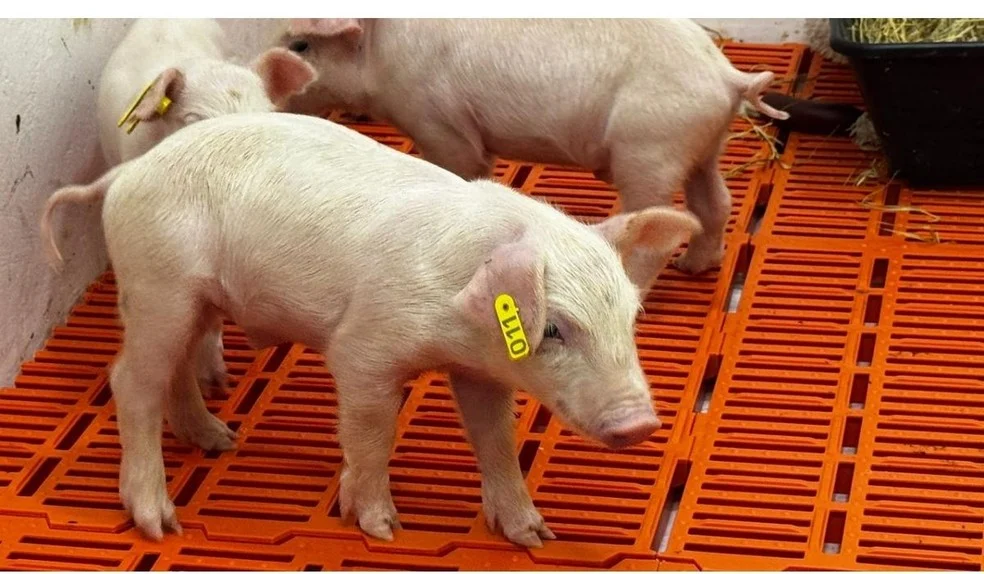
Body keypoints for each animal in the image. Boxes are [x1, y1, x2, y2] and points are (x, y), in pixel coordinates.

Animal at [42, 112, 700, 547]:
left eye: (630, 316)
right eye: (557, 329)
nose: (640, 425)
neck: (457, 319)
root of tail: (125, 175)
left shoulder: (478, 370)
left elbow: (495, 441)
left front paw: (536, 537)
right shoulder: (363, 351)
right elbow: (372, 435)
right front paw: (382, 528)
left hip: (191, 298)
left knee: (173, 370)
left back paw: (220, 441)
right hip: (158, 284)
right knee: (131, 382)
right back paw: (160, 524)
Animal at [269, 18, 789, 277]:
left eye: (301, 46)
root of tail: (726, 76)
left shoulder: (437, 121)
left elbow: (462, 167)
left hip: (650, 150)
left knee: (653, 232)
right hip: (704, 145)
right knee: (715, 203)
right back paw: (694, 267)